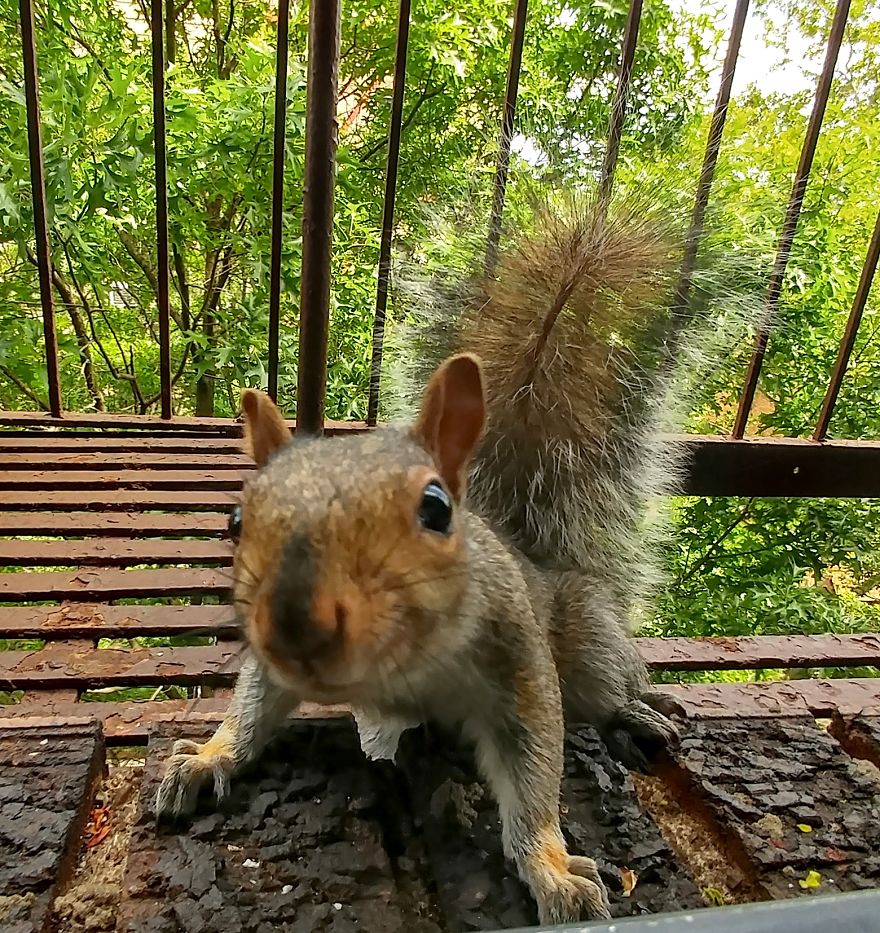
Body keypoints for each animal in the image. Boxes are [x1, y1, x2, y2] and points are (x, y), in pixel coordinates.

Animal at [154, 193, 747, 924]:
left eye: (435, 509)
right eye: (235, 519)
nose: (296, 626)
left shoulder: (518, 665)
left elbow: (533, 772)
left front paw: (551, 871)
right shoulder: (277, 668)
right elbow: (252, 708)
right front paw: (207, 757)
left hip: (587, 641)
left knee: (607, 685)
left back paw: (635, 710)